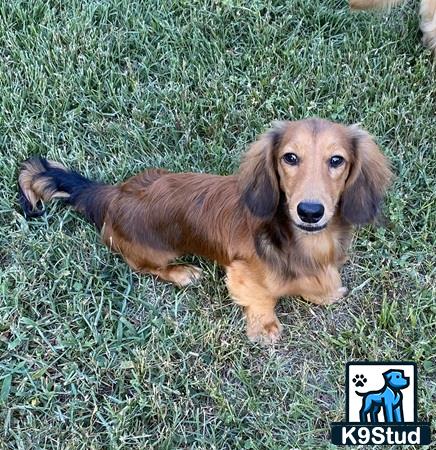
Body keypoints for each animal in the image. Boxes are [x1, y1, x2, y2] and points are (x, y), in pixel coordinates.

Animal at [17, 118, 392, 342]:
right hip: (152, 250)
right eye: (290, 158)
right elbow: (261, 298)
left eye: (336, 160)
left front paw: (324, 290)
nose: (310, 211)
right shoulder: (241, 272)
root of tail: (112, 194)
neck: (305, 241)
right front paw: (265, 327)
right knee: (144, 267)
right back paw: (182, 272)